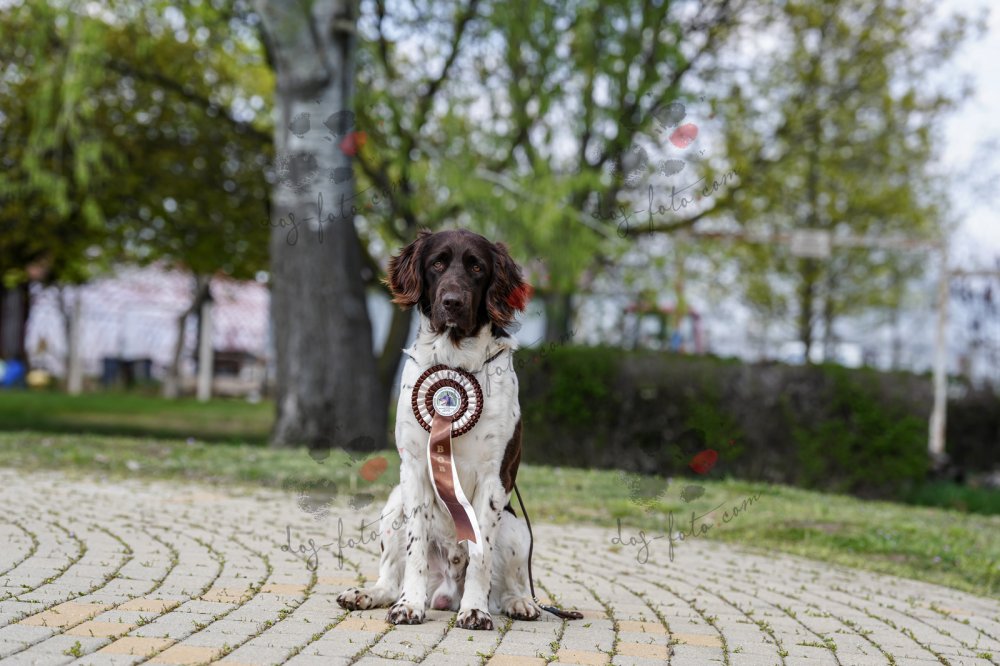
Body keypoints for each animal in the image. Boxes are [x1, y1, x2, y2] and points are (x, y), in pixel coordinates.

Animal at [336, 229, 541, 630]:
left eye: (477, 267)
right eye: (437, 264)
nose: (452, 302)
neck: (455, 359)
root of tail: (446, 592)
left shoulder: (495, 477)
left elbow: (480, 553)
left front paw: (475, 610)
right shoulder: (414, 469)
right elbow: (415, 548)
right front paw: (409, 606)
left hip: (516, 529)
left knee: (507, 584)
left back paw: (518, 603)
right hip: (393, 505)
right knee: (390, 577)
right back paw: (368, 594)